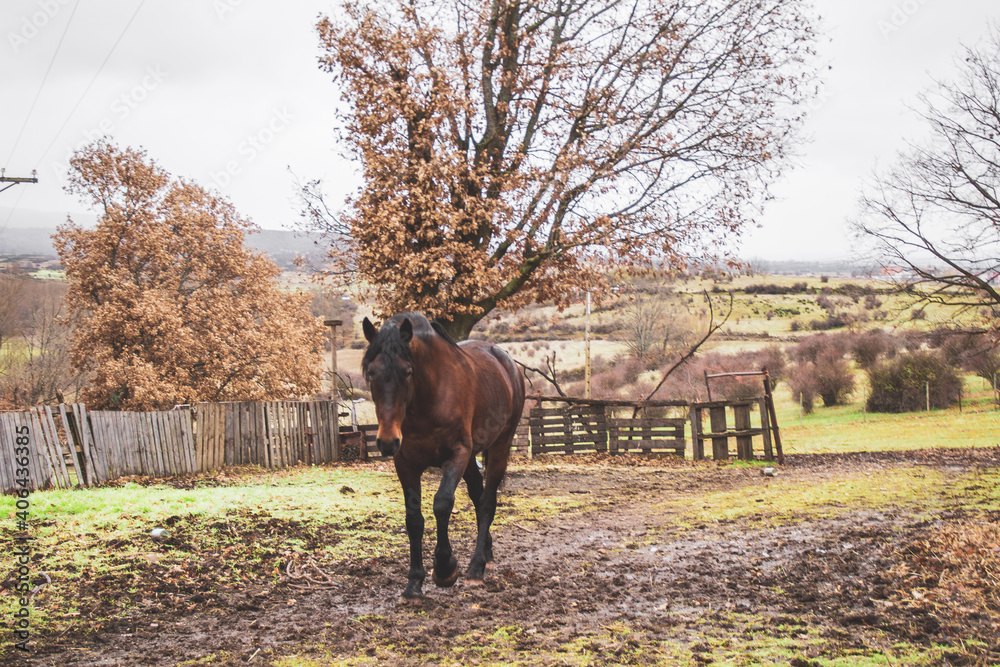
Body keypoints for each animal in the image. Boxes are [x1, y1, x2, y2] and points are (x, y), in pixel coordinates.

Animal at [364, 314, 528, 600]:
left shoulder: (456, 455)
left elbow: (442, 504)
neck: (427, 399)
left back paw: (475, 569)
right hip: (472, 460)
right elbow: (413, 519)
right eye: (372, 372)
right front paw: (414, 583)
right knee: (478, 498)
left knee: (487, 502)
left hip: (499, 448)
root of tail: (507, 364)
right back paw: (486, 555)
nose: (386, 441)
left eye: (407, 372)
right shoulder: (405, 463)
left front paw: (444, 568)